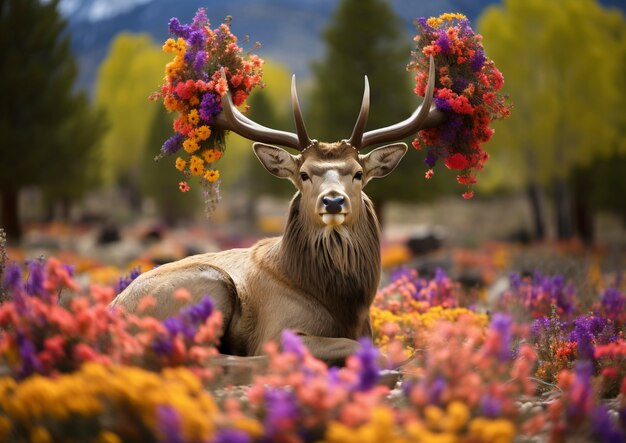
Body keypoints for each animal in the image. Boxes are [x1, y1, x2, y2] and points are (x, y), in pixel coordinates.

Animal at [112, 56, 444, 368]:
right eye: (305, 174)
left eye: (358, 173)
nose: (333, 201)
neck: (344, 307)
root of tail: (113, 311)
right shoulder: (278, 329)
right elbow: (371, 351)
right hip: (208, 283)